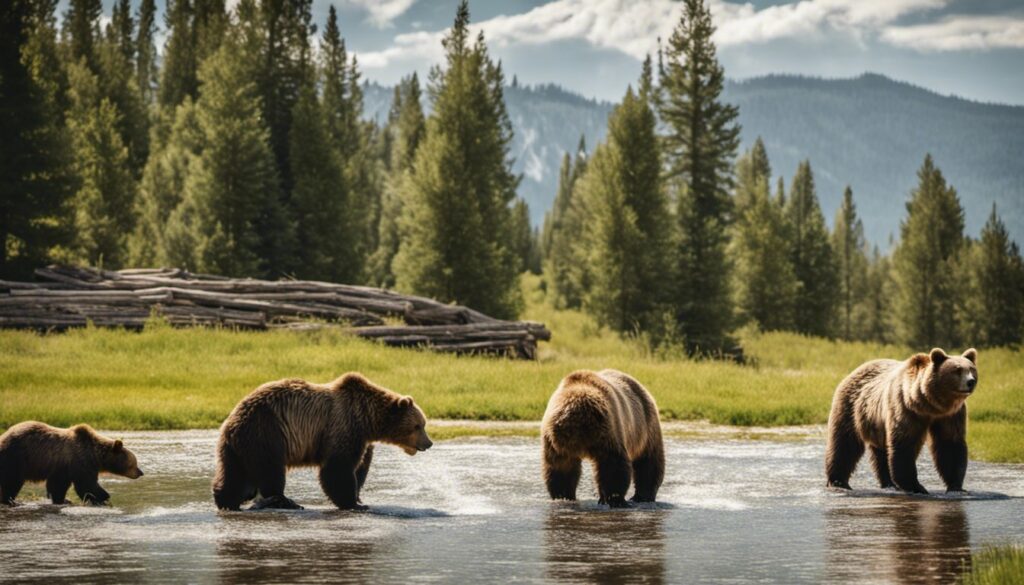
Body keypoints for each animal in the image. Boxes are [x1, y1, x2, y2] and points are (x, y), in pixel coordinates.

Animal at [0, 421, 144, 506]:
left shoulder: (63, 466)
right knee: (13, 480)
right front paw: (103, 497)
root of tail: (4, 436)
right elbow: (85, 484)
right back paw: (10, 500)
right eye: (134, 463)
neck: (95, 456)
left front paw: (63, 499)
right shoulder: (78, 461)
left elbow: (58, 484)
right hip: (16, 457)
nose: (140, 472)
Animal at [212, 372, 433, 511]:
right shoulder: (343, 426)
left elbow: (361, 466)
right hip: (267, 432)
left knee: (234, 473)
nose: (428, 443)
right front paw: (354, 503)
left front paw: (359, 496)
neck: (367, 420)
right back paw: (286, 501)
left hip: (238, 445)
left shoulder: (363, 439)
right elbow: (337, 468)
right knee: (271, 470)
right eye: (418, 426)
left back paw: (227, 500)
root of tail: (232, 421)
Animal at [541, 369, 665, 508]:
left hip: (645, 426)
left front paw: (615, 498)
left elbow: (613, 465)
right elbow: (561, 468)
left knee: (648, 460)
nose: (581, 451)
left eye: (584, 432)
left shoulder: (609, 435)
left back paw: (642, 496)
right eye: (569, 434)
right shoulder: (555, 444)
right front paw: (562, 495)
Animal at [825, 347, 978, 494]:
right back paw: (838, 481)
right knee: (844, 443)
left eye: (971, 369)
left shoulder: (950, 415)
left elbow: (949, 444)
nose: (971, 382)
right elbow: (904, 443)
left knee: (881, 451)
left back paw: (889, 483)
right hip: (851, 408)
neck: (929, 406)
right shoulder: (904, 408)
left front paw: (956, 487)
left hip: (876, 424)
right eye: (957, 370)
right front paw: (917, 487)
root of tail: (856, 370)